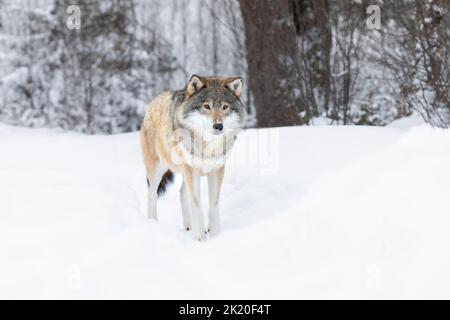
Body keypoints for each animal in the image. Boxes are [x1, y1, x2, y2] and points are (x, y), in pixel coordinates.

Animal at [141, 75, 246, 240]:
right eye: (206, 106)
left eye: (225, 107)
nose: (218, 126)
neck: (207, 147)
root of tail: (156, 99)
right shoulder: (192, 171)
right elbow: (197, 207)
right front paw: (200, 238)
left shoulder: (216, 171)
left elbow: (213, 207)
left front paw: (215, 235)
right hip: (158, 170)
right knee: (152, 195)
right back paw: (153, 225)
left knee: (182, 193)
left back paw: (188, 226)